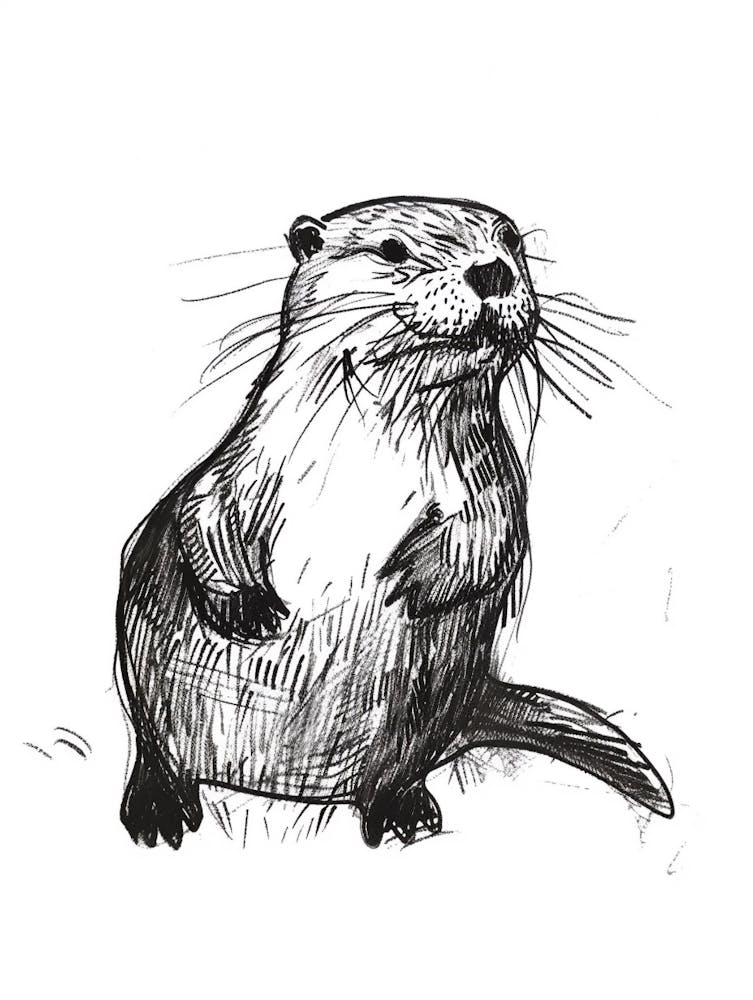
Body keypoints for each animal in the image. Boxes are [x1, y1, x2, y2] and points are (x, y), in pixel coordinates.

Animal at [116, 195, 673, 849]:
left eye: (511, 241)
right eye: (391, 249)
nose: (492, 269)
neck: (364, 467)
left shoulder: (492, 478)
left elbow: (495, 534)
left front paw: (411, 578)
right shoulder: (246, 459)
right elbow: (200, 508)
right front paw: (249, 606)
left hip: (423, 722)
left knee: (394, 777)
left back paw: (405, 814)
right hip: (150, 690)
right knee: (156, 749)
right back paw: (158, 810)